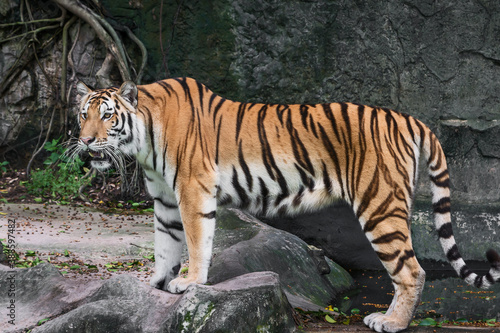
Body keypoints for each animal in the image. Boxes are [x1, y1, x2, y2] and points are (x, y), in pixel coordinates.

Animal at [74, 76, 500, 330]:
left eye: (107, 116)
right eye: (83, 115)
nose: (87, 140)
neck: (143, 141)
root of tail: (411, 119)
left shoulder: (193, 191)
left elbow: (196, 242)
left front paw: (190, 282)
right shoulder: (164, 199)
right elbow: (165, 243)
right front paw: (157, 283)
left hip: (380, 205)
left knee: (412, 270)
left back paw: (391, 322)